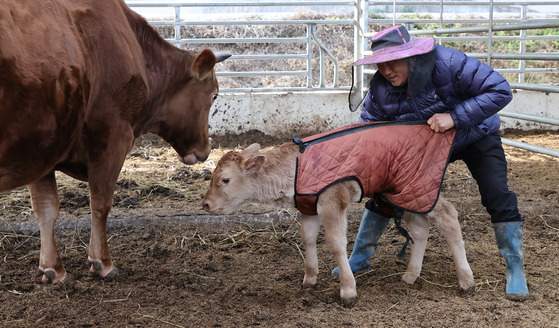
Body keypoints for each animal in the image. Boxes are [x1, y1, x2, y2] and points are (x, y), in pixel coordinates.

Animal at [0, 0, 231, 282]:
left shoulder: (43, 148)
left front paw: (53, 269)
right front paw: (102, 262)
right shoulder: (112, 137)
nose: (205, 150)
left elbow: (46, 208)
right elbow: (100, 203)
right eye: (214, 95)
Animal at [203, 142, 474, 308]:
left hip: (419, 188)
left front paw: (348, 291)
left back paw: (466, 280)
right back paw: (410, 274)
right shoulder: (308, 205)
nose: (205, 204)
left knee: (448, 216)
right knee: (420, 228)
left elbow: (335, 243)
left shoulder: (333, 199)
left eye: (225, 180)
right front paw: (309, 278)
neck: (297, 170)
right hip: (406, 196)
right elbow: (307, 237)